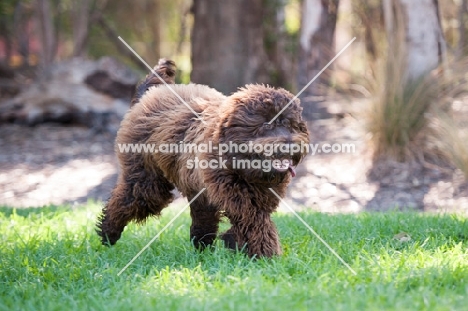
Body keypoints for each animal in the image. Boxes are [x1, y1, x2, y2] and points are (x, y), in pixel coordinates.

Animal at [97, 62, 308, 258]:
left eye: (291, 125)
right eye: (266, 125)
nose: (290, 145)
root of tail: (150, 94)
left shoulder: (258, 197)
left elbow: (252, 221)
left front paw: (240, 245)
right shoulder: (237, 197)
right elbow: (254, 221)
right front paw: (265, 254)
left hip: (196, 190)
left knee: (202, 219)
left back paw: (202, 247)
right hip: (147, 180)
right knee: (130, 199)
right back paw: (108, 233)